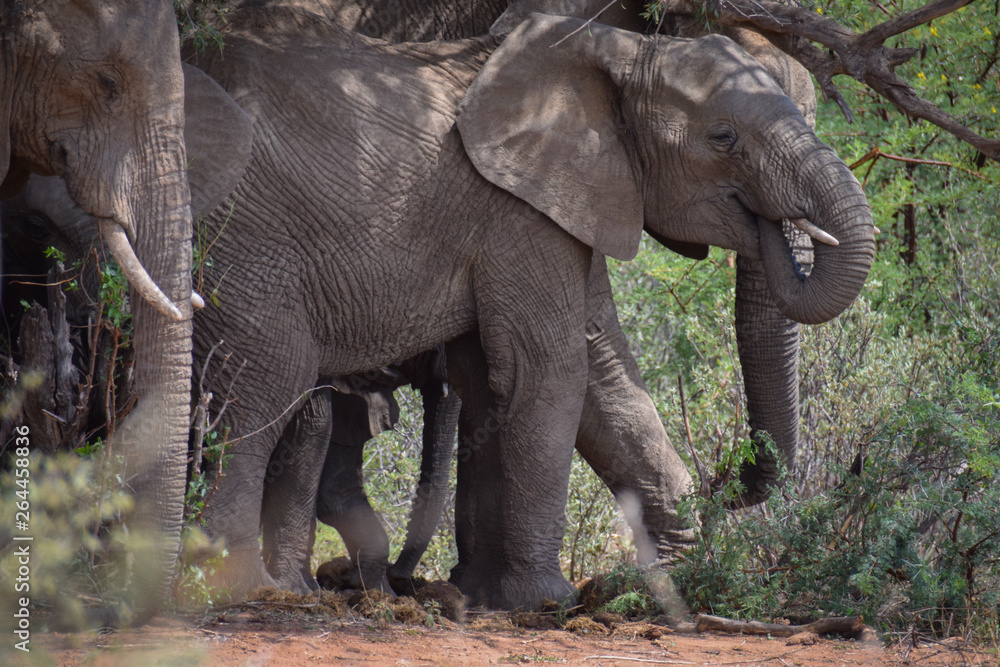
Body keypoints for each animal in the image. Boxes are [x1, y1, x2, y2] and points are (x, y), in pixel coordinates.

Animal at [174, 5, 873, 610]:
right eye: (723, 138)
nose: (724, 486)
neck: (618, 52)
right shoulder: (520, 208)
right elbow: (553, 368)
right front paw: (546, 599)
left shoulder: (570, 198)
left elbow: (594, 371)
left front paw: (665, 574)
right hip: (240, 238)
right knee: (267, 381)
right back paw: (242, 590)